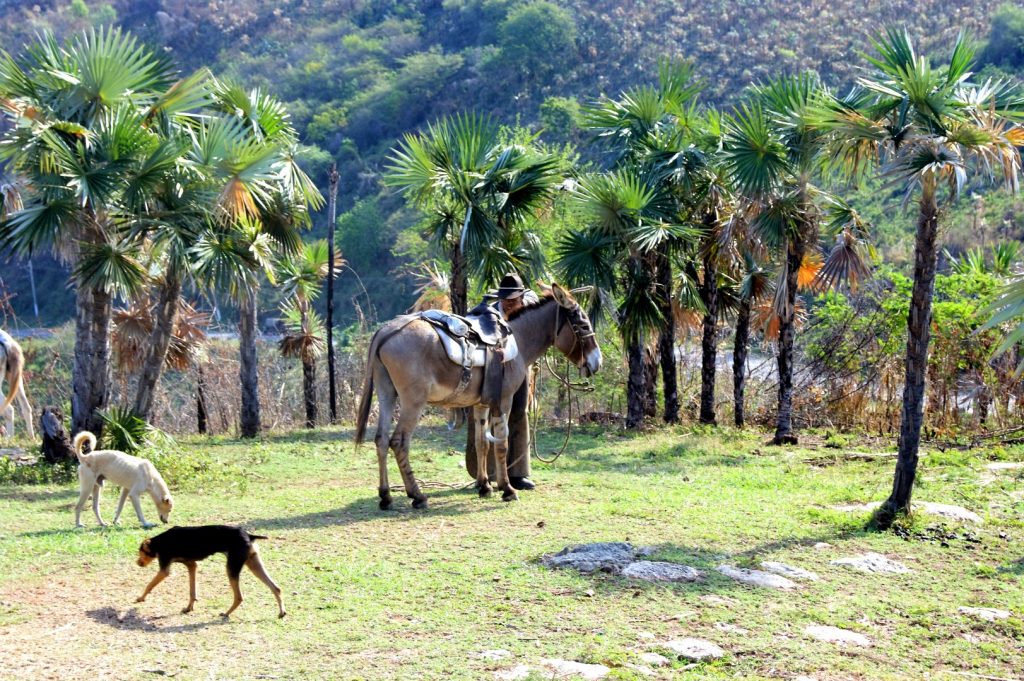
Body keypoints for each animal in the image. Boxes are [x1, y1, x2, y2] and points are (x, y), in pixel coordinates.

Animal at [136, 522, 286, 618]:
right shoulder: (191, 565)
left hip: (232, 567)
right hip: (253, 564)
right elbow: (192, 592)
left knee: (239, 597)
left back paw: (226, 613)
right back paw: (282, 612)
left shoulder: (164, 569)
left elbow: (149, 585)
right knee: (276, 587)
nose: (137, 563)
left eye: (141, 552)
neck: (159, 542)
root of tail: (249, 535)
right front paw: (189, 607)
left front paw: (141, 598)